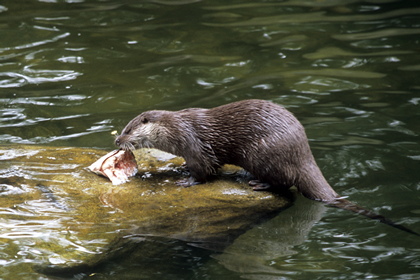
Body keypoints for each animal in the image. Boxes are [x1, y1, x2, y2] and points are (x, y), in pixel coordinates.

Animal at [115, 99, 420, 235]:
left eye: (128, 130)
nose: (117, 140)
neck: (176, 129)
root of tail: (303, 153)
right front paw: (180, 171)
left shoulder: (194, 146)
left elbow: (205, 171)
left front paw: (187, 180)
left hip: (262, 153)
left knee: (286, 183)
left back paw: (258, 182)